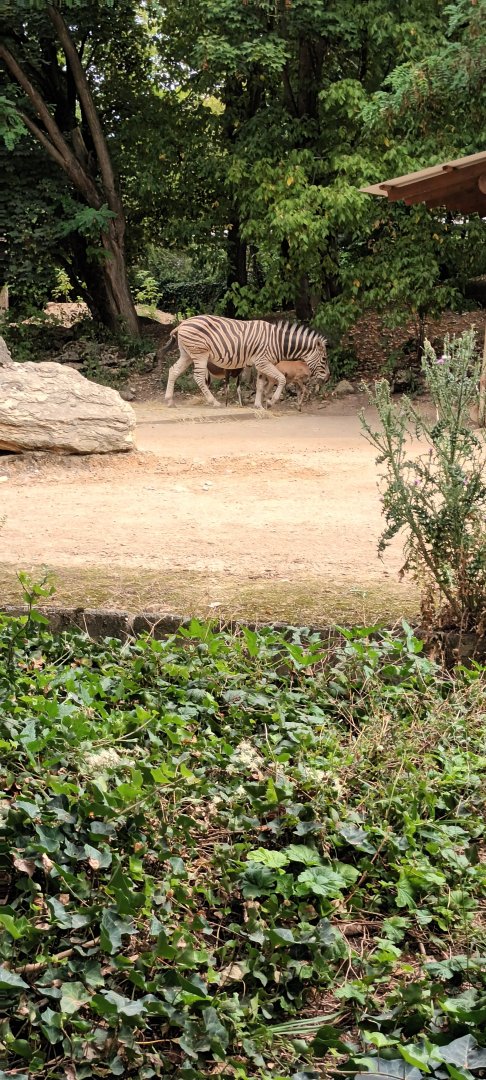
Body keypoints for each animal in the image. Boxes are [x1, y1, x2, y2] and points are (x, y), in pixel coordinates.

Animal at [162, 315, 329, 409]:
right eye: (324, 359)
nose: (328, 378)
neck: (278, 342)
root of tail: (182, 324)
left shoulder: (261, 364)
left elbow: (260, 385)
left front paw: (258, 405)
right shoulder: (263, 362)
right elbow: (281, 379)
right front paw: (271, 402)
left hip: (187, 355)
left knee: (173, 370)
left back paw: (170, 401)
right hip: (200, 354)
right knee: (198, 377)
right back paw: (214, 402)